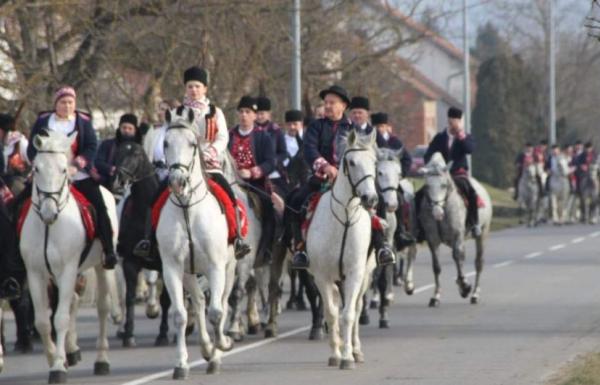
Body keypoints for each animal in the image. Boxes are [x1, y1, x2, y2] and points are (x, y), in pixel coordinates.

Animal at [19, 131, 119, 380]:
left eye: (64, 169)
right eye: (36, 169)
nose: (48, 212)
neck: (49, 227)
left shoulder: (68, 269)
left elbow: (60, 318)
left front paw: (57, 368)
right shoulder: (36, 273)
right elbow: (43, 322)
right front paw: (55, 358)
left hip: (101, 266)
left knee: (102, 307)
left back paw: (101, 361)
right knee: (72, 300)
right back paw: (72, 351)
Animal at [157, 106, 234, 376]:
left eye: (192, 143)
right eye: (166, 143)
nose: (177, 181)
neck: (188, 208)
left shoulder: (215, 266)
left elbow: (217, 312)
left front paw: (222, 345)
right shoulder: (172, 268)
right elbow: (180, 315)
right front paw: (181, 364)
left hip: (230, 268)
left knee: (220, 303)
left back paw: (215, 351)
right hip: (189, 273)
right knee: (199, 302)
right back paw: (206, 348)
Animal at [308, 130, 378, 368]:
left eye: (374, 161)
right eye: (352, 162)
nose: (370, 198)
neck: (344, 220)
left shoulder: (355, 273)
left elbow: (348, 315)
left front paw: (347, 357)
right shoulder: (322, 276)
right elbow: (331, 313)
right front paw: (336, 354)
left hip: (364, 276)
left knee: (355, 309)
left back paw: (356, 350)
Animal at [418, 153, 492, 306]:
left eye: (443, 185)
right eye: (427, 186)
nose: (437, 213)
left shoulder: (457, 235)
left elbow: (458, 257)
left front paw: (465, 286)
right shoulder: (432, 240)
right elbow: (437, 267)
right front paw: (436, 296)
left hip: (483, 234)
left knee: (478, 263)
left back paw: (475, 294)